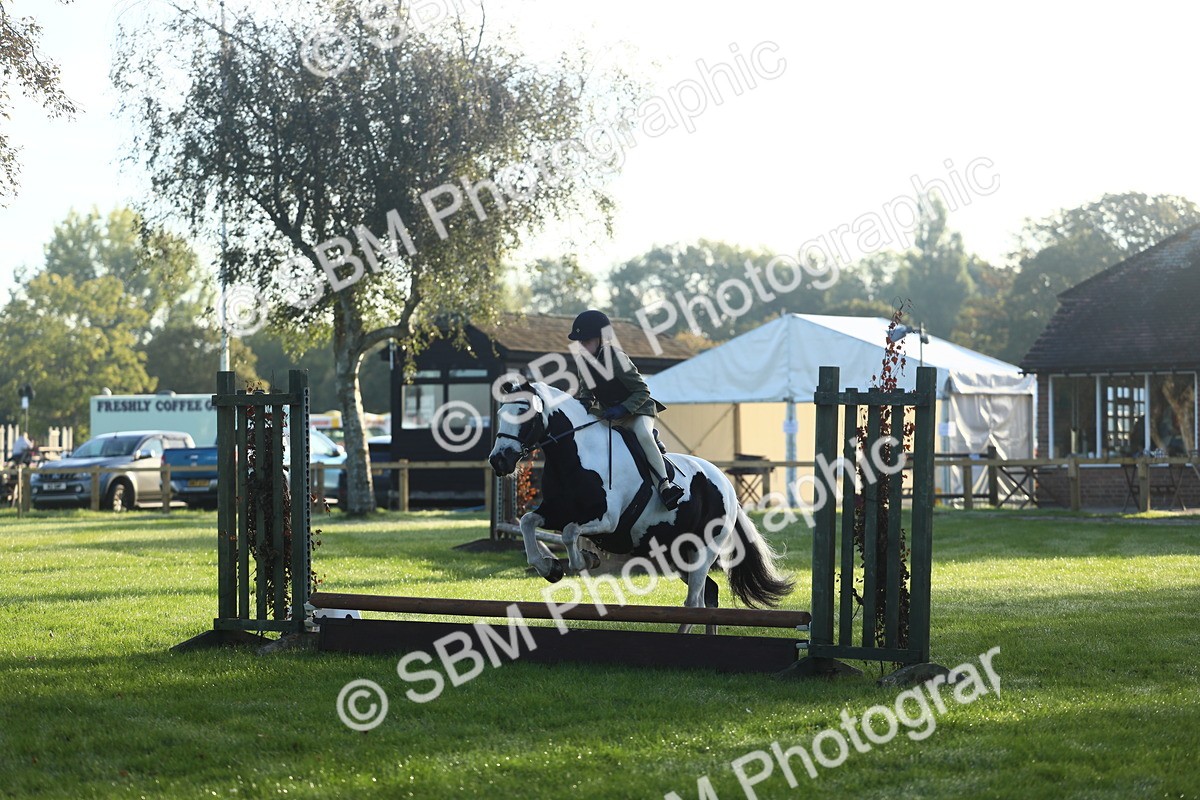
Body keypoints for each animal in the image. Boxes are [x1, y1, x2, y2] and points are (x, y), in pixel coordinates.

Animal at [487, 380, 794, 634]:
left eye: (523, 412)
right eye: (501, 413)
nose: (499, 460)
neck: (575, 456)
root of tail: (727, 486)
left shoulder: (607, 519)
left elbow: (570, 533)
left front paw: (584, 560)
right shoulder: (557, 511)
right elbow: (528, 522)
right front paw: (549, 568)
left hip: (704, 550)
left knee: (694, 601)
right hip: (677, 553)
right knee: (709, 594)